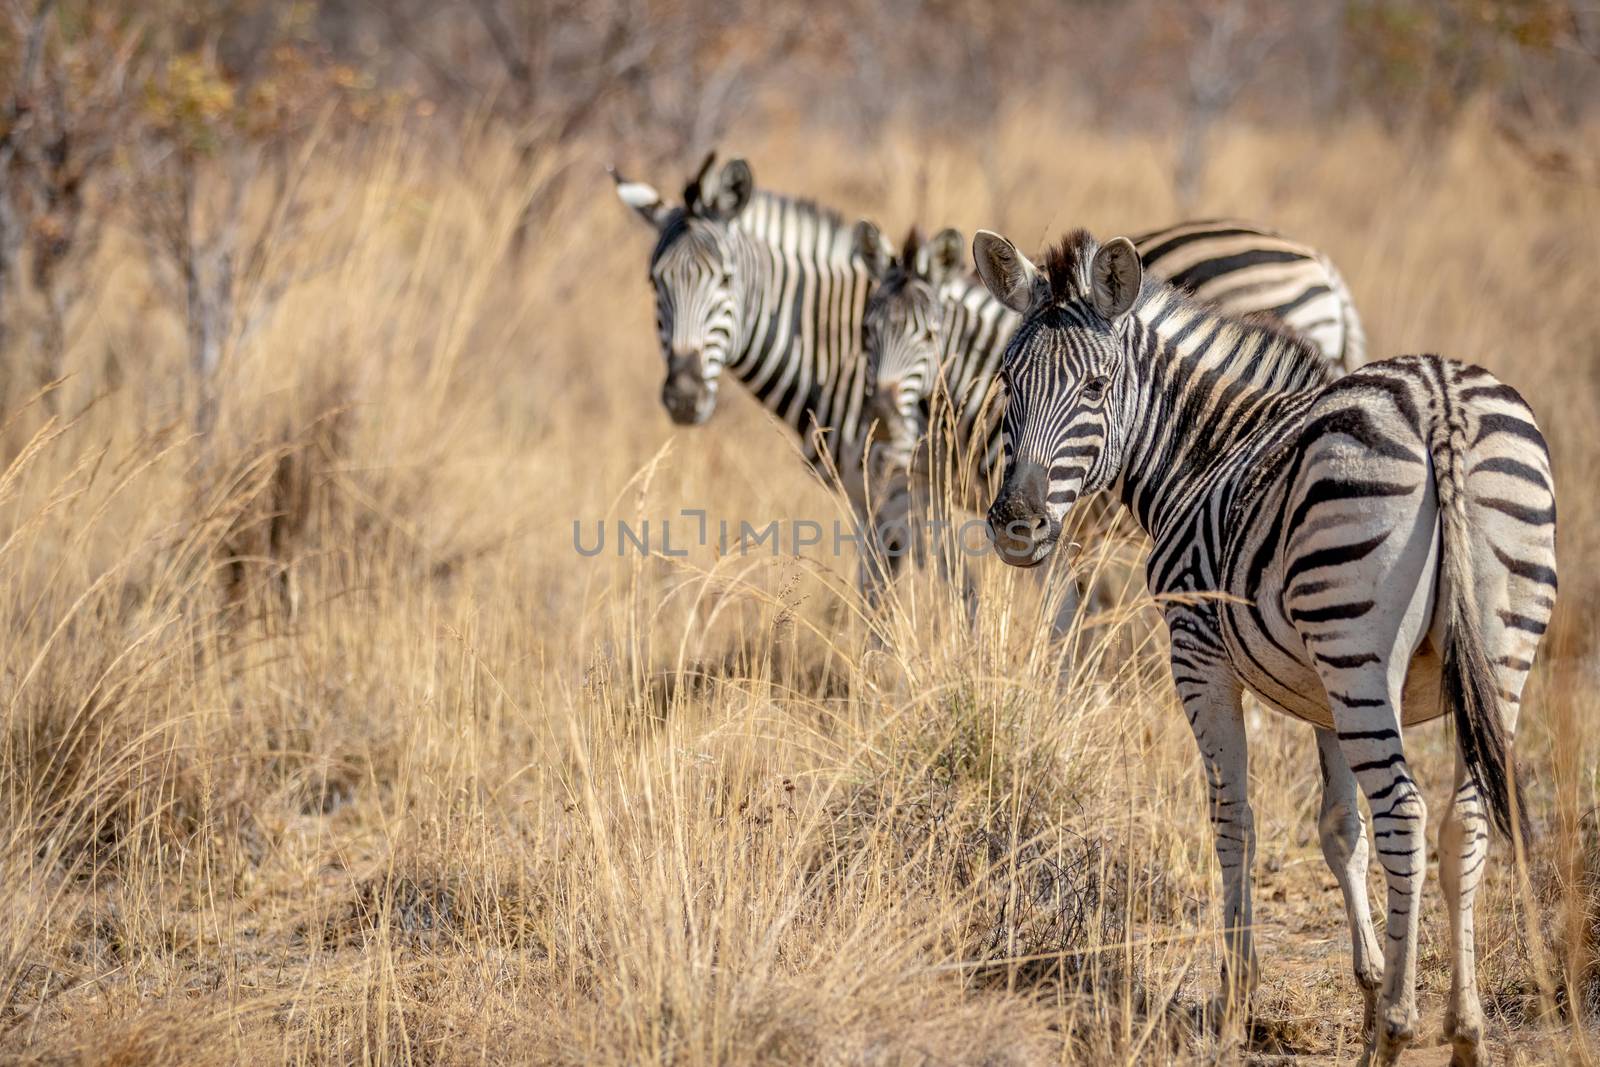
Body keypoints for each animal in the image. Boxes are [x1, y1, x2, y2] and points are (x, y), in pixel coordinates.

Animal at [966, 227, 1555, 1067]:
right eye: (1007, 380)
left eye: (1097, 386)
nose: (1017, 525)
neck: (1205, 448)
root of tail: (1439, 401)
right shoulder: (1324, 693)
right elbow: (1341, 827)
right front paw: (1367, 984)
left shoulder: (1198, 653)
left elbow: (1232, 814)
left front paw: (1240, 993)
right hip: (1492, 653)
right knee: (1463, 819)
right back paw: (1465, 1029)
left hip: (1358, 648)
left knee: (1406, 813)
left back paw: (1400, 1030)